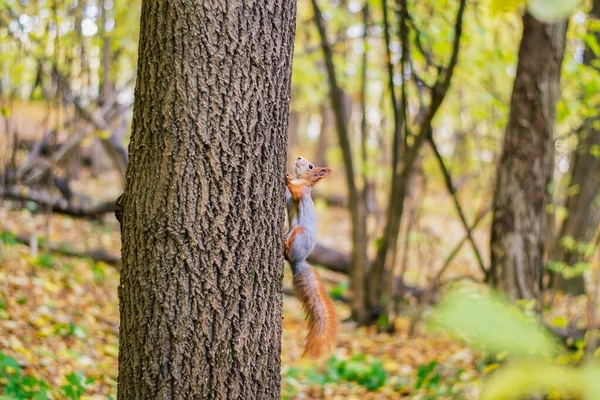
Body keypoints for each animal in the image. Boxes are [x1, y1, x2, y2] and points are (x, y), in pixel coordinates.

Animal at [284, 159, 338, 360]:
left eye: (310, 167)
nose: (299, 158)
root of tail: (298, 262)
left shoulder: (302, 192)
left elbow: (295, 191)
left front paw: (287, 178)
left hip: (299, 233)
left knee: (289, 253)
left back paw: (285, 247)